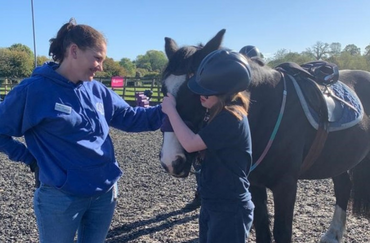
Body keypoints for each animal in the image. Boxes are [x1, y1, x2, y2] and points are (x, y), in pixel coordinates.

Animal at [160, 29, 370, 243]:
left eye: (195, 94)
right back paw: (333, 233)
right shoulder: (255, 184)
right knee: (343, 186)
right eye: (164, 90)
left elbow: (282, 232)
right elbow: (262, 229)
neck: (268, 108)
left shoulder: (286, 185)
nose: (171, 161)